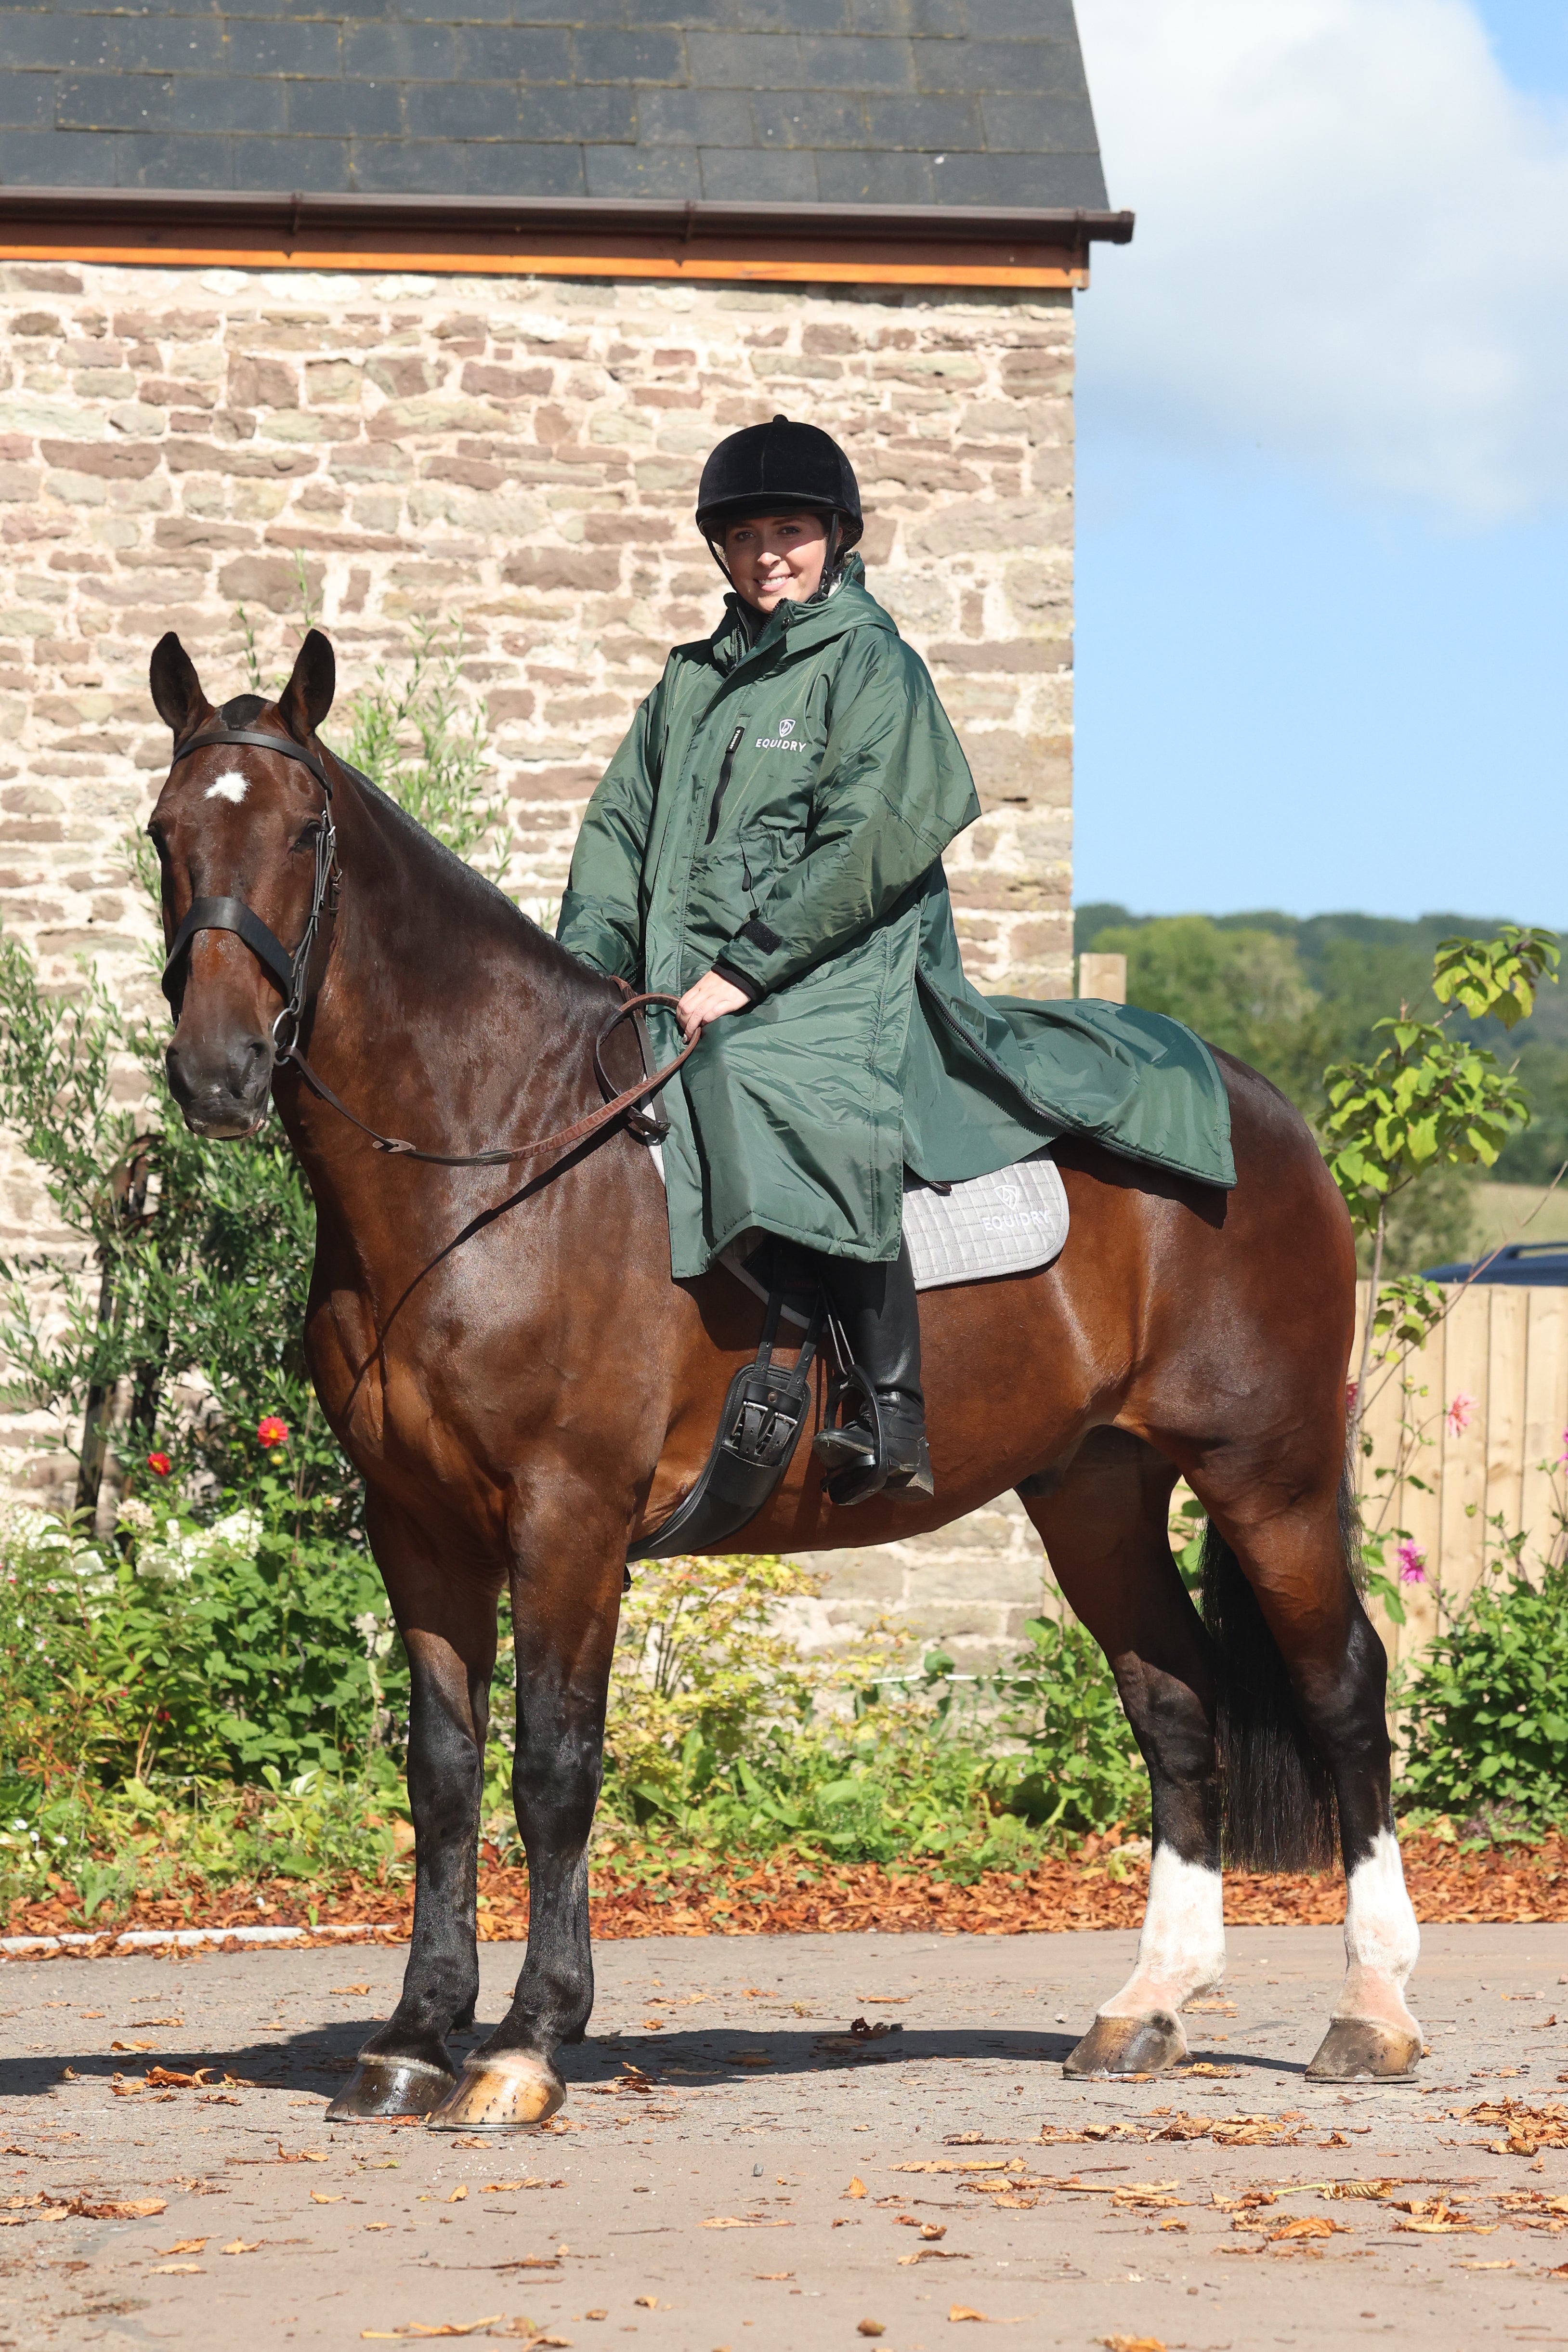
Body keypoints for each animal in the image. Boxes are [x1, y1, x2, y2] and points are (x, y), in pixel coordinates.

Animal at [145, 626, 1422, 2131]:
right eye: (167, 834)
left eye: (305, 831)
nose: (217, 1074)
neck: (504, 1160)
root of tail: (1265, 1113)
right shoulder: (420, 1527)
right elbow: (444, 1772)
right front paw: (411, 2037)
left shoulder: (570, 1517)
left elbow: (553, 1764)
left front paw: (526, 2041)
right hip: (1094, 1492)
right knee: (1174, 1708)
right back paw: (1147, 2005)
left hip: (1266, 1475)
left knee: (1344, 1692)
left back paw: (1374, 2010)